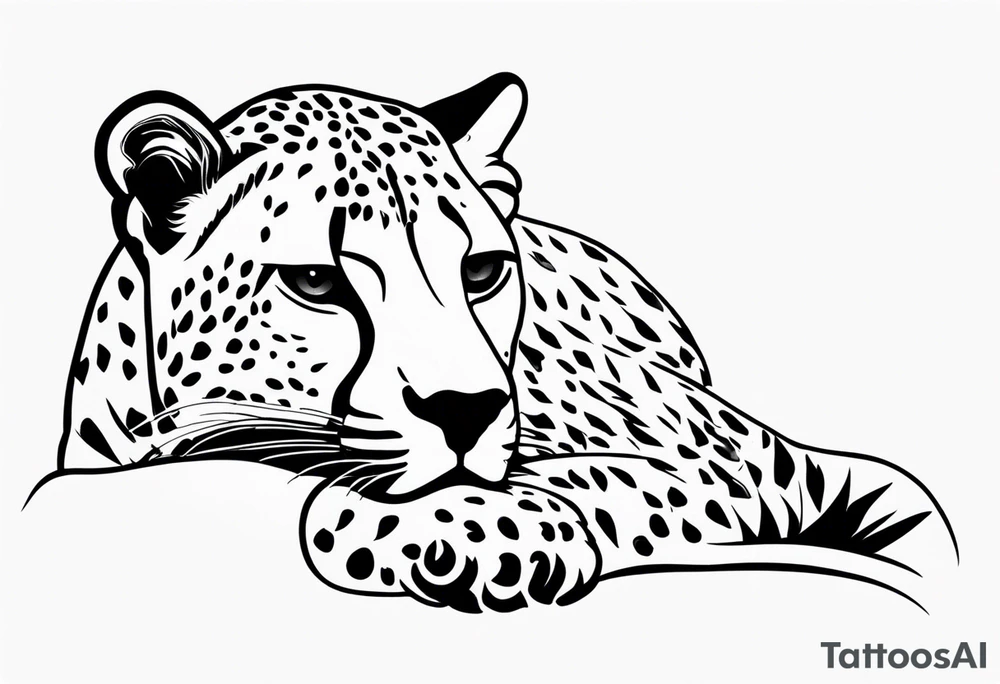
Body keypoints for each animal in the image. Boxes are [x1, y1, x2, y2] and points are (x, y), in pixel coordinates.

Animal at [47, 73, 957, 613]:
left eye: (482, 271)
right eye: (316, 283)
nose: (467, 410)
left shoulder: (724, 463)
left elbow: (596, 475)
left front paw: (465, 531)